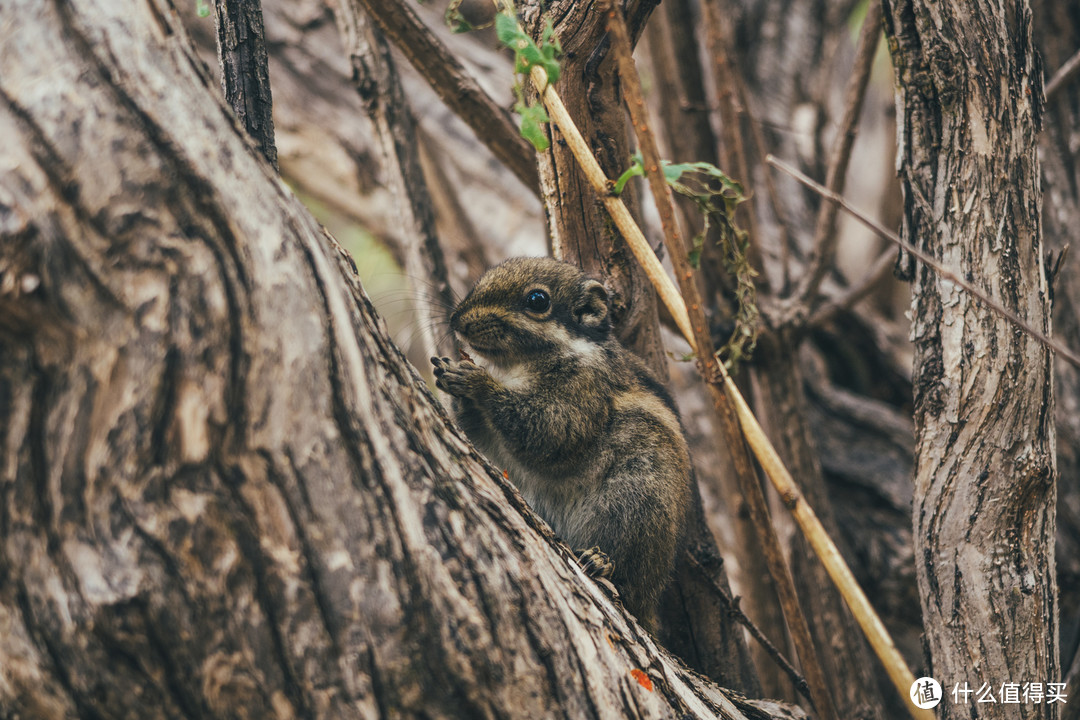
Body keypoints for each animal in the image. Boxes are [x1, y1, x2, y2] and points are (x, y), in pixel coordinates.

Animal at [429, 255, 691, 626]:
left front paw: (478, 382)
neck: (516, 366)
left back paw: (602, 563)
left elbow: (551, 432)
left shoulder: (585, 392)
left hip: (638, 500)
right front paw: (449, 375)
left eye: (537, 300)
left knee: (630, 579)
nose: (456, 322)